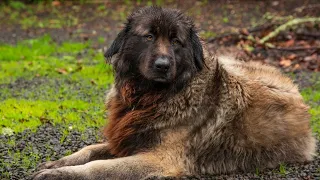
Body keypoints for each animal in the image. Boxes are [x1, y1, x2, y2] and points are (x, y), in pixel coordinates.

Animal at [33, 6, 316, 179]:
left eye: (176, 41)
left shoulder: (158, 158)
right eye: (148, 37)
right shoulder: (128, 138)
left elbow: (98, 167)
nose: (162, 65)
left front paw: (60, 174)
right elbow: (89, 150)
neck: (150, 97)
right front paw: (59, 163)